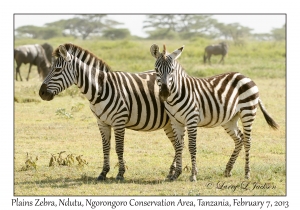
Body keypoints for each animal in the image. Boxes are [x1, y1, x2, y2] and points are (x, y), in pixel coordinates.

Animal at [38, 43, 177, 180]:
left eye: (57, 70)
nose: (41, 93)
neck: (102, 88)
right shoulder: (102, 122)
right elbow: (105, 147)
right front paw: (103, 173)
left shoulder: (119, 121)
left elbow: (119, 148)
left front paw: (120, 174)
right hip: (169, 123)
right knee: (177, 144)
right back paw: (171, 172)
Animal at [150, 43, 278, 181]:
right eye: (156, 70)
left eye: (172, 70)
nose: (164, 93)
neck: (175, 96)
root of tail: (245, 76)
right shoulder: (175, 122)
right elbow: (179, 146)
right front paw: (176, 174)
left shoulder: (191, 120)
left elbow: (192, 146)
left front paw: (193, 174)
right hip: (230, 119)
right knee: (240, 138)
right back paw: (228, 169)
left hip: (248, 112)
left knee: (248, 141)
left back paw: (247, 173)